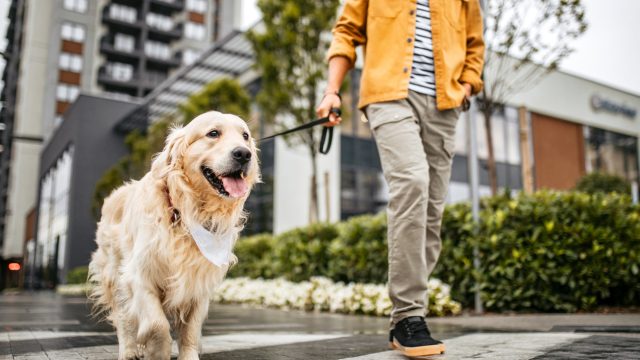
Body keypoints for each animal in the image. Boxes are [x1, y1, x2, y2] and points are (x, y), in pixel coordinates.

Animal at [87, 111, 260, 358]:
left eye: (245, 136)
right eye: (213, 133)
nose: (244, 153)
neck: (186, 213)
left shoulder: (199, 281)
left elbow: (190, 331)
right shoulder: (139, 275)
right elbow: (157, 325)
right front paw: (157, 351)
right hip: (114, 274)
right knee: (124, 319)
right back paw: (129, 350)